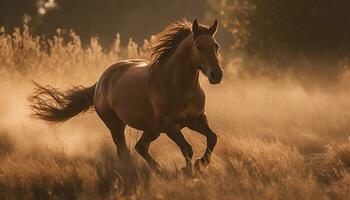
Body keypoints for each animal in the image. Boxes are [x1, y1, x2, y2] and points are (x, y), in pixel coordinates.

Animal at [28, 19, 223, 174]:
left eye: (216, 46)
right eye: (199, 46)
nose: (217, 75)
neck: (179, 87)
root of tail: (100, 81)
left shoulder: (196, 119)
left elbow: (212, 137)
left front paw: (200, 164)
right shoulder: (170, 126)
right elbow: (187, 148)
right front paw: (189, 170)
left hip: (152, 128)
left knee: (140, 147)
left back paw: (157, 169)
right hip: (116, 125)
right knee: (124, 151)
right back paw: (135, 170)